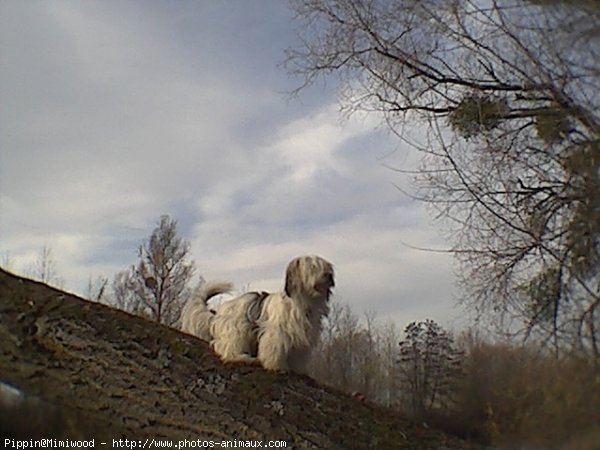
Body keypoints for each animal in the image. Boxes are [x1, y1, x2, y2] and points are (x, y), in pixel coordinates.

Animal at [180, 255, 336, 374]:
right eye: (313, 267)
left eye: (327, 267)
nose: (329, 275)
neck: (303, 302)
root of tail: (218, 315)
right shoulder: (276, 333)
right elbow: (274, 349)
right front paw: (277, 367)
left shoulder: (302, 338)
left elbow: (298, 356)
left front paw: (298, 370)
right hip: (237, 330)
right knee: (225, 349)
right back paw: (244, 358)